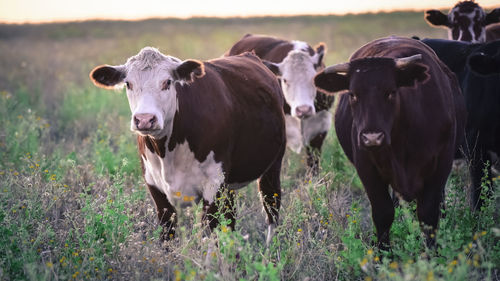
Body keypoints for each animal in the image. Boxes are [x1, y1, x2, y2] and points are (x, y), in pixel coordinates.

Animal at [88, 47, 288, 243]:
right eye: (128, 84)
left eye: (167, 82)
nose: (144, 119)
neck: (167, 152)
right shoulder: (155, 187)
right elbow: (167, 235)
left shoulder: (214, 185)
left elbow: (209, 235)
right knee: (231, 218)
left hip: (272, 166)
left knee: (272, 207)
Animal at [314, 36, 466, 248]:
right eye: (353, 94)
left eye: (391, 92)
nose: (372, 137)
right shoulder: (366, 167)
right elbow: (383, 213)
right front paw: (383, 251)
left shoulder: (442, 164)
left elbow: (428, 214)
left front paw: (432, 252)